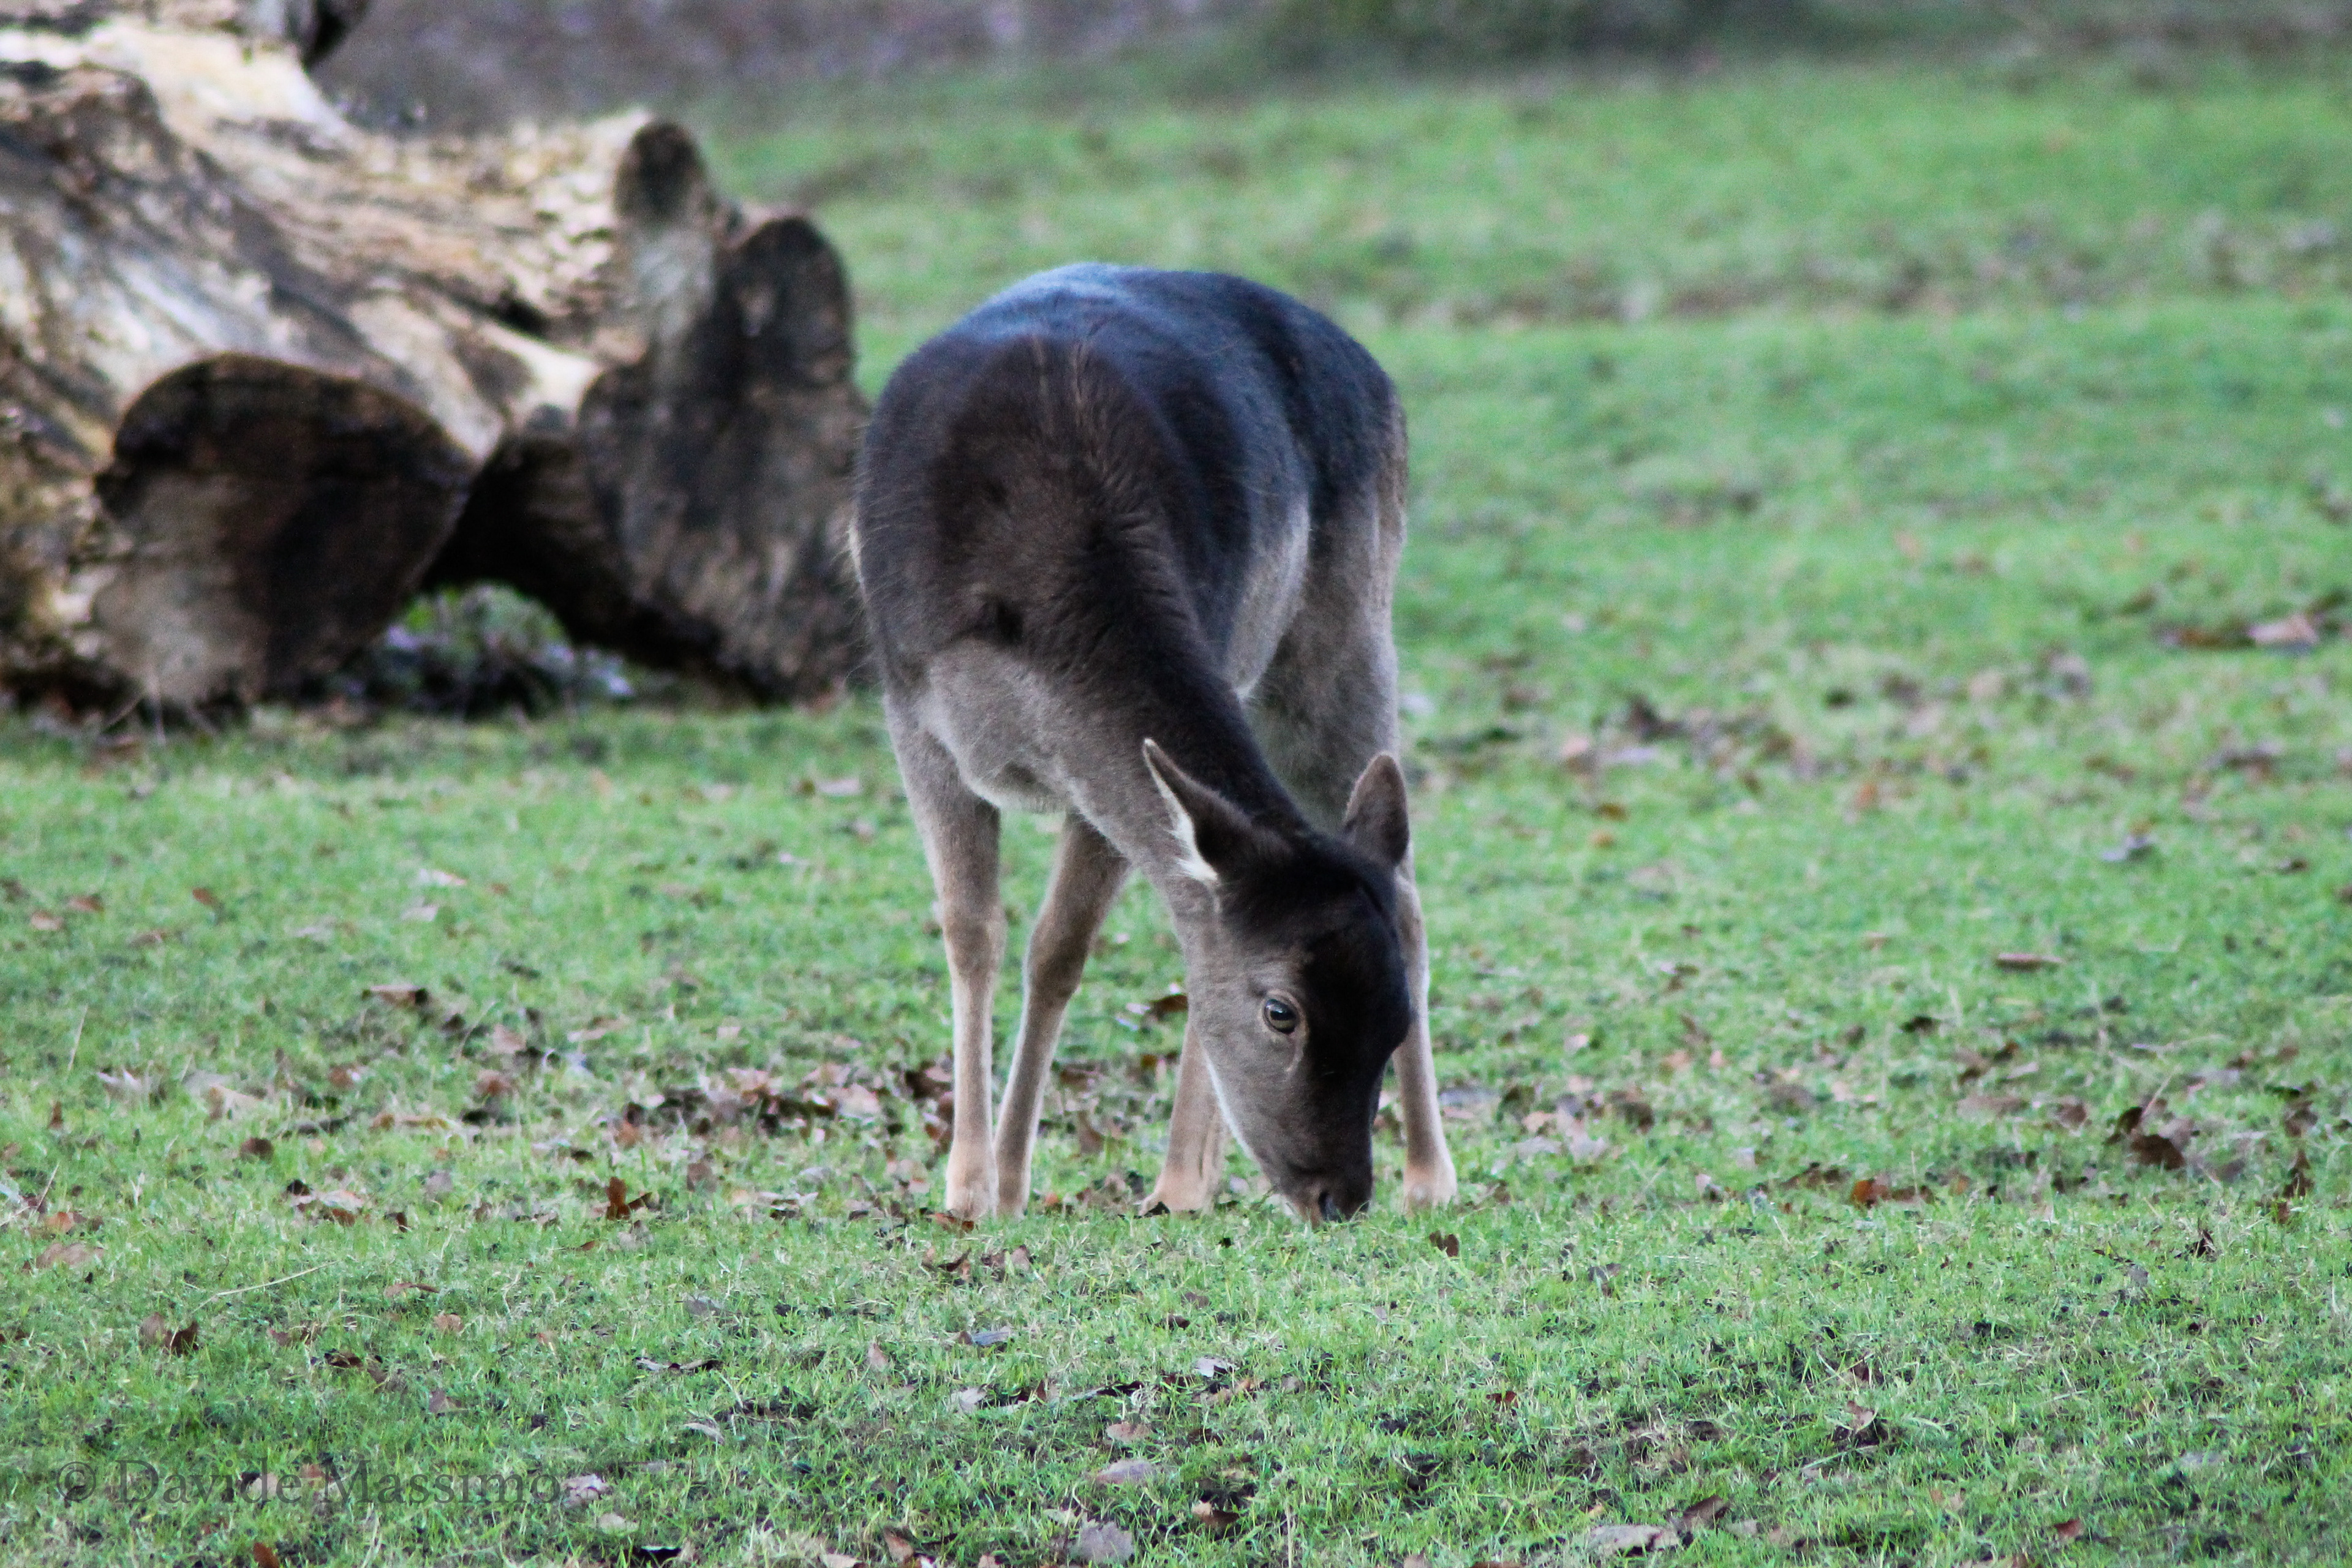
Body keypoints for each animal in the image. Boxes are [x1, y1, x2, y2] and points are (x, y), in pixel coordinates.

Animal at [851, 264, 1456, 1222]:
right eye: (1281, 1010)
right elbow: (974, 931)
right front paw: (971, 1186)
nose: (1341, 1194)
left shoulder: (1095, 774)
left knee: (1404, 893)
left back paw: (1423, 1176)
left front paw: (1011, 1178)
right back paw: (1185, 1183)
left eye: (1395, 1016)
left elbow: (1058, 948)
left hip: (1352, 628)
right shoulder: (914, 714)